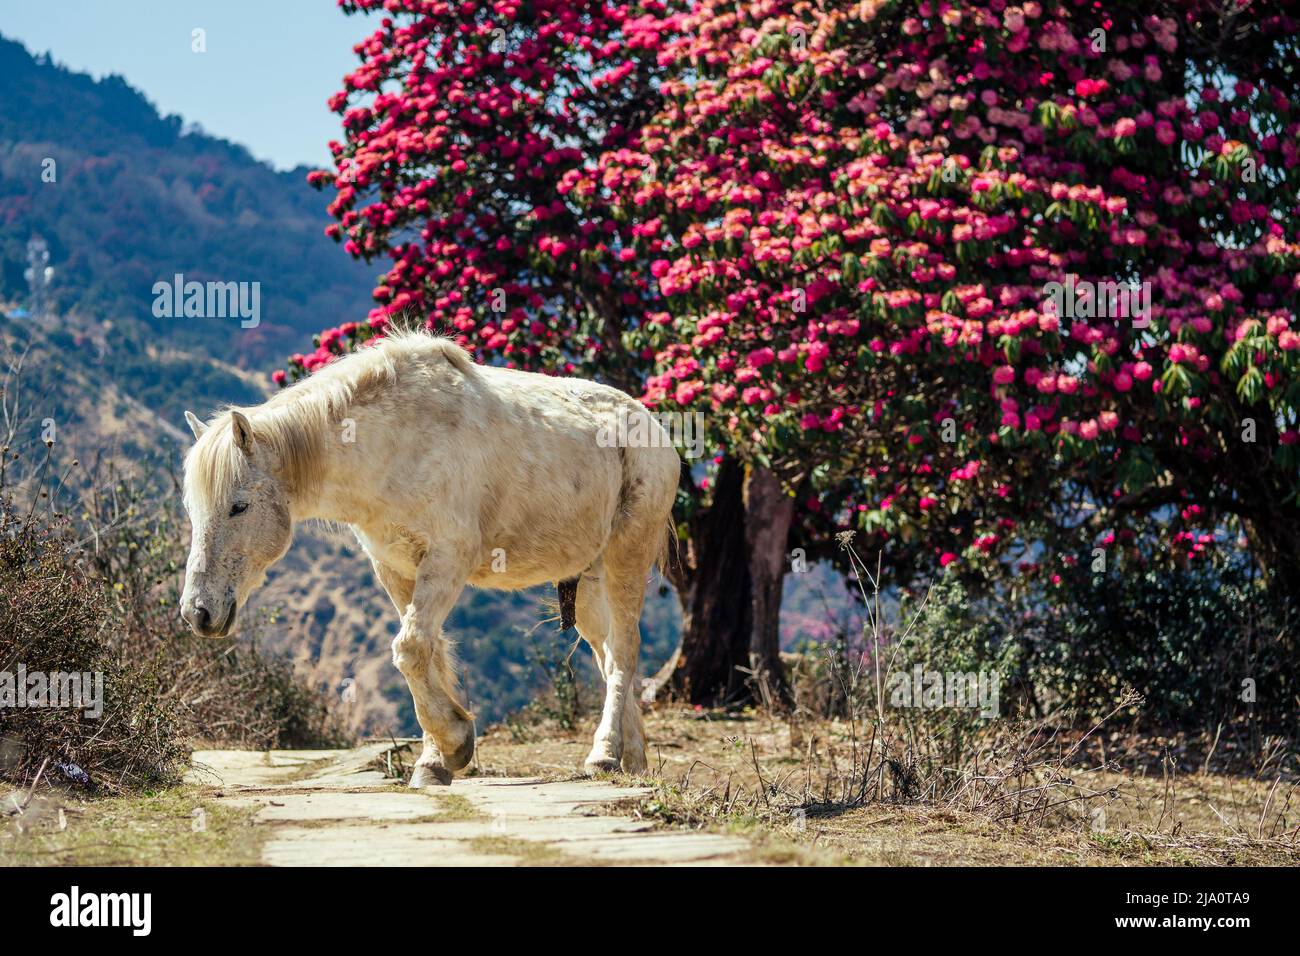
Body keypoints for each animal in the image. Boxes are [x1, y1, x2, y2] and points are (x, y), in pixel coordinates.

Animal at [182, 335, 681, 785]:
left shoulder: (447, 559)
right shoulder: (396, 569)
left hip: (626, 559)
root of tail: (652, 427)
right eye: (192, 507)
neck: (394, 444)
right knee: (609, 656)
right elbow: (429, 652)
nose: (198, 613)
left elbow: (410, 648)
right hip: (589, 583)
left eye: (239, 506)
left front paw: (455, 745)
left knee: (624, 653)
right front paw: (435, 760)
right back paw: (632, 758)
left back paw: (604, 756)